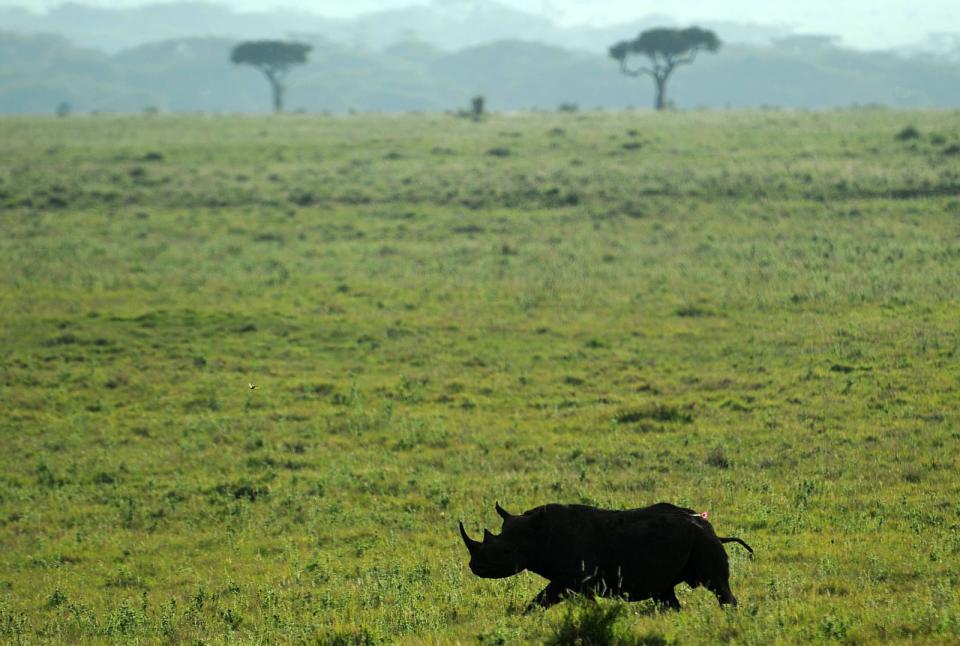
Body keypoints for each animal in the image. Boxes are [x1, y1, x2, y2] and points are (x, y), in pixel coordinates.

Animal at [462, 502, 752, 612]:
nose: (475, 566)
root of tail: (711, 528)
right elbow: (585, 604)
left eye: (506, 552)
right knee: (665, 593)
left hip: (702, 542)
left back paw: (729, 613)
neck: (539, 534)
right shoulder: (579, 581)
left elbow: (541, 599)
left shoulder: (571, 576)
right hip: (691, 542)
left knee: (717, 585)